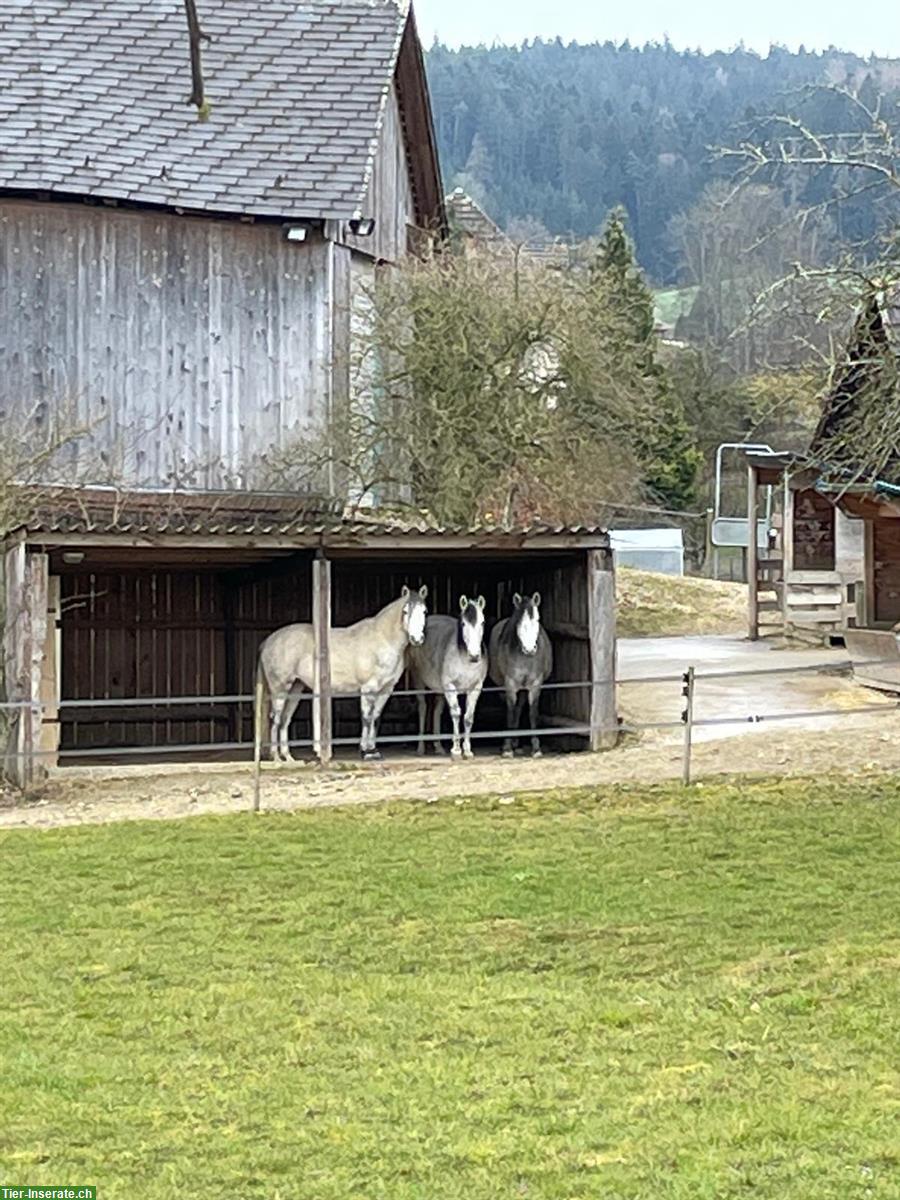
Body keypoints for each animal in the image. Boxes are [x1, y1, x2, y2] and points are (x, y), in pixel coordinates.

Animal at [256, 585, 429, 763]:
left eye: (424, 611)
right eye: (405, 611)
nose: (417, 639)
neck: (382, 639)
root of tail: (268, 641)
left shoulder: (386, 689)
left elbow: (375, 717)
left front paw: (373, 750)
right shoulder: (368, 688)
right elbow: (367, 718)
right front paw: (365, 752)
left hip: (296, 688)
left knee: (285, 719)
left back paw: (288, 757)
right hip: (280, 688)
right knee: (275, 718)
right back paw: (276, 757)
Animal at [410, 592, 489, 753]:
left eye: (482, 623)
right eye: (463, 624)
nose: (474, 656)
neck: (465, 660)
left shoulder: (476, 687)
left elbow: (468, 717)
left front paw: (467, 750)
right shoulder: (450, 686)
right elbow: (456, 713)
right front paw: (457, 749)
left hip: (440, 689)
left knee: (437, 710)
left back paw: (438, 746)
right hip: (418, 680)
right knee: (422, 707)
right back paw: (420, 747)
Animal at [489, 592, 554, 758]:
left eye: (536, 620)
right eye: (519, 623)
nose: (530, 649)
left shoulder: (535, 685)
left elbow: (532, 713)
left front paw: (536, 748)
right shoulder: (510, 684)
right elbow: (510, 711)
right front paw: (507, 748)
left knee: (519, 709)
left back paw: (516, 742)